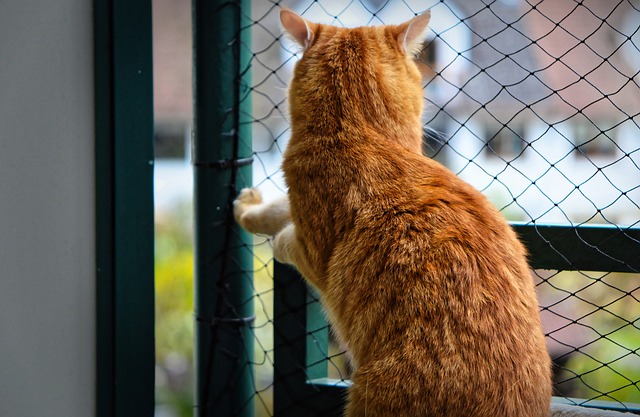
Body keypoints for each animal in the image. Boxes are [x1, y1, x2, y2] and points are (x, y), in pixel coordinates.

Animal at [232, 8, 552, 416]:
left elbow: (285, 238)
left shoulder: (309, 248)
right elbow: (274, 210)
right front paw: (248, 208)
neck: (361, 132)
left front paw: (266, 228)